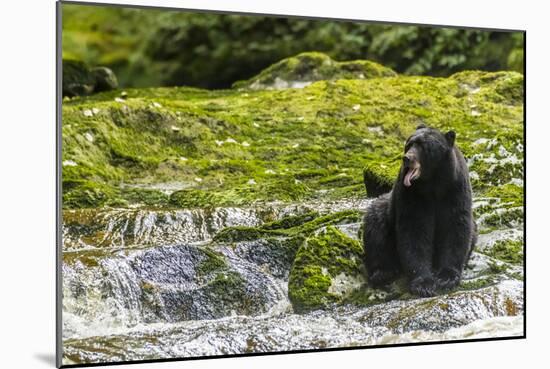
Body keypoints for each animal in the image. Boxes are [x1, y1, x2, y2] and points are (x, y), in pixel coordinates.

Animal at [364, 124, 476, 296]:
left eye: (423, 146)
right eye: (409, 144)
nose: (406, 158)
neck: (432, 184)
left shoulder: (455, 189)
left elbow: (456, 227)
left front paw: (447, 277)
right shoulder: (412, 195)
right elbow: (414, 231)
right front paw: (423, 283)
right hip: (385, 211)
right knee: (376, 227)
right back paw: (383, 272)